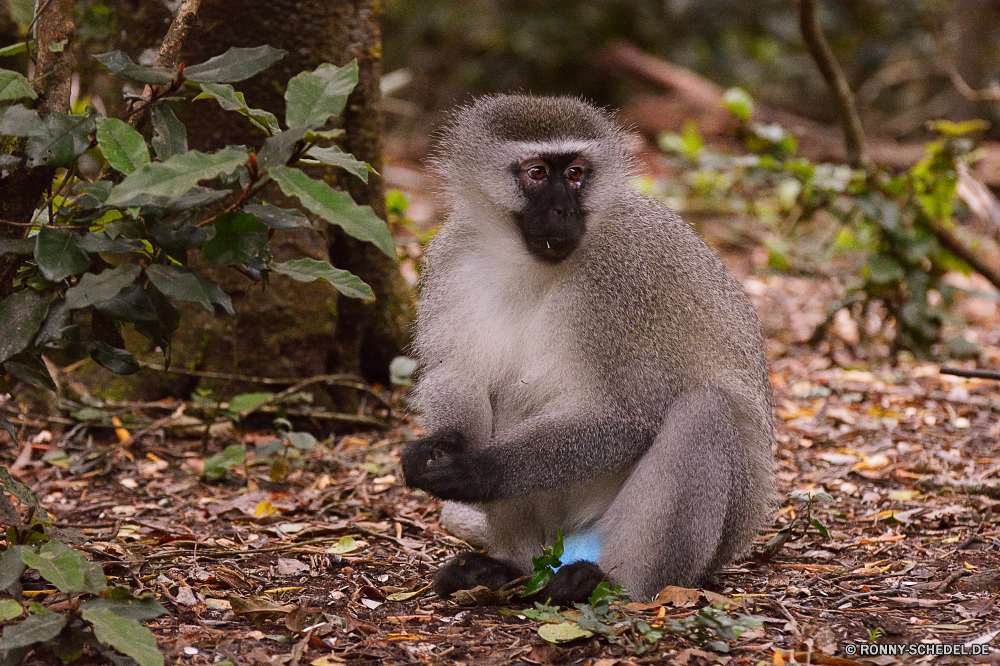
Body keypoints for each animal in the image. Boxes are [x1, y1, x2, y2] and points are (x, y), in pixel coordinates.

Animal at [402, 93, 776, 608]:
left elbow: (629, 416)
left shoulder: (623, 281)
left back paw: (609, 581)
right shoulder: (452, 257)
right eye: (538, 173)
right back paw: (509, 568)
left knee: (704, 412)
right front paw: (440, 446)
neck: (529, 262)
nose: (562, 210)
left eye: (577, 173)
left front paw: (474, 470)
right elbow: (456, 376)